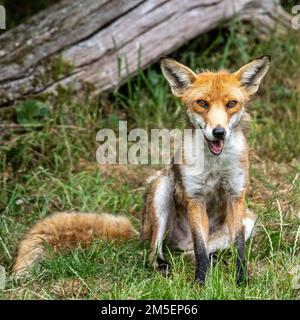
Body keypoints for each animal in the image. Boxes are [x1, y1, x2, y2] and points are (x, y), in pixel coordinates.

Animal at [11, 56, 270, 284]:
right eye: (202, 103)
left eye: (231, 104)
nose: (219, 132)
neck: (215, 165)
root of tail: (142, 230)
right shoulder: (195, 198)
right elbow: (200, 249)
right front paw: (201, 283)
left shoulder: (236, 195)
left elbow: (238, 248)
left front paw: (241, 280)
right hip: (161, 191)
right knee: (157, 251)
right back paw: (163, 266)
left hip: (249, 221)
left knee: (191, 253)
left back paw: (212, 259)